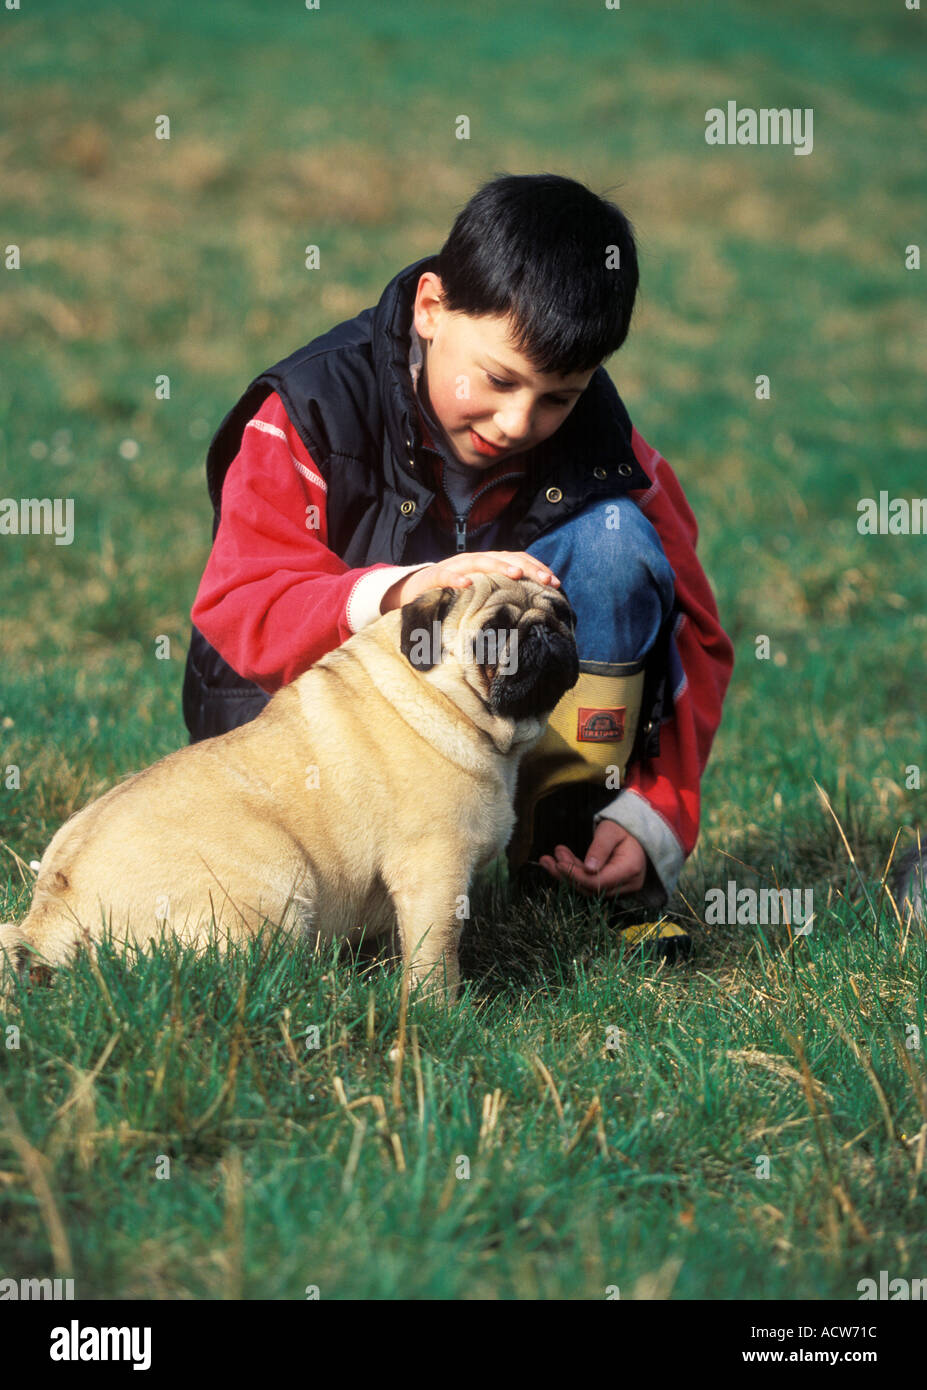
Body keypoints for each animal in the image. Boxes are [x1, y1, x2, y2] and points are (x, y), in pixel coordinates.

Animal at [0, 569, 575, 1006]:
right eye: (493, 633)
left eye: (565, 614)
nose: (545, 631)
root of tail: (54, 906)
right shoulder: (434, 874)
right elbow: (436, 957)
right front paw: (441, 1013)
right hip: (282, 875)